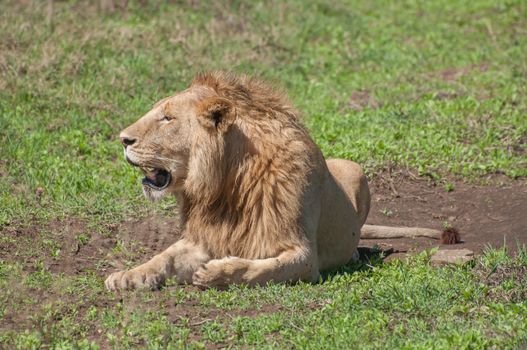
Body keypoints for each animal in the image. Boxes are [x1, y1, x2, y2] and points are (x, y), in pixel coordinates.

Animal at [104, 71, 458, 290]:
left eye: (167, 118)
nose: (123, 139)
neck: (227, 185)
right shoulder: (203, 238)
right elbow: (162, 258)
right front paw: (126, 276)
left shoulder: (304, 256)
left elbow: (258, 269)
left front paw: (215, 273)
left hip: (356, 170)